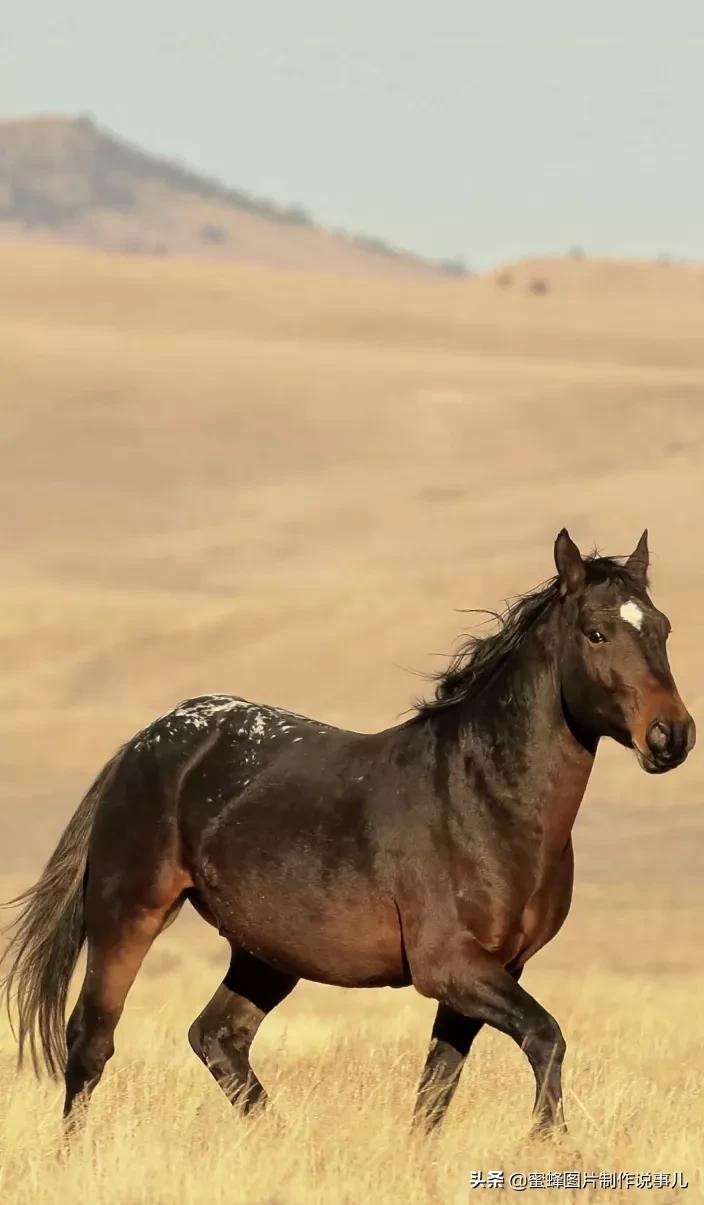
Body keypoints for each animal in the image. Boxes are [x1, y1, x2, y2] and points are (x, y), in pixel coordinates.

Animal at [0, 530, 694, 1137]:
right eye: (596, 633)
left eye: (661, 629)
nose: (672, 736)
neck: (484, 798)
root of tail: (145, 742)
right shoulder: (452, 967)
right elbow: (545, 1037)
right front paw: (549, 1146)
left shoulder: (492, 972)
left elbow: (436, 1090)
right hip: (130, 915)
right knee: (91, 1041)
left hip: (266, 951)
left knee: (218, 1038)